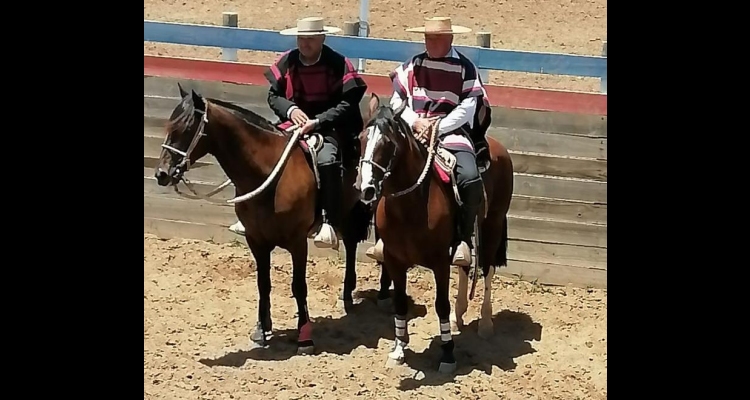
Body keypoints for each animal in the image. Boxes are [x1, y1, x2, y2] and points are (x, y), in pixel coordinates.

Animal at [153, 84, 376, 354]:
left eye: (184, 129)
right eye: (168, 126)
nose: (162, 174)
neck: (269, 174)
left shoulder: (297, 242)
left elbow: (298, 286)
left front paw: (305, 337)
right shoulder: (256, 240)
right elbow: (263, 283)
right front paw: (262, 329)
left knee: (357, 243)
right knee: (351, 242)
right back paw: (347, 295)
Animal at [356, 93, 516, 372]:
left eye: (387, 143)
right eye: (361, 139)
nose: (365, 189)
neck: (411, 206)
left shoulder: (440, 262)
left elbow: (441, 305)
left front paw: (448, 355)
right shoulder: (395, 261)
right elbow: (400, 303)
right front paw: (398, 349)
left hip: (493, 224)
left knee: (487, 270)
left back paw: (485, 323)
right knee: (465, 264)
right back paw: (458, 315)